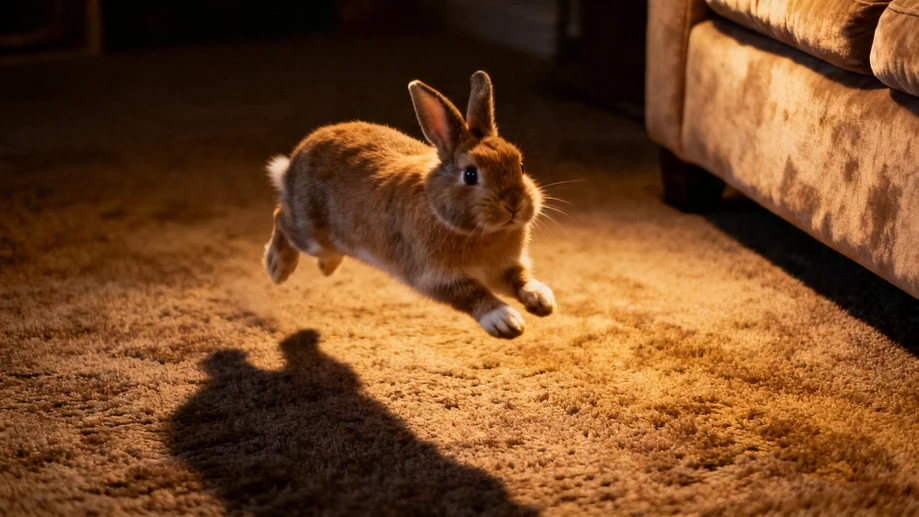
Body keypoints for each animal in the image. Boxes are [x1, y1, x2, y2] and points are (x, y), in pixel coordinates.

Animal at [263, 71, 555, 339]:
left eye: (520, 165)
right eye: (470, 175)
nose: (514, 204)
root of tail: (295, 160)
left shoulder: (505, 267)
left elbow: (520, 278)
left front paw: (542, 299)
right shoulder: (437, 277)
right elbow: (474, 293)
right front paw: (505, 321)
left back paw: (327, 266)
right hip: (309, 233)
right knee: (280, 217)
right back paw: (277, 268)